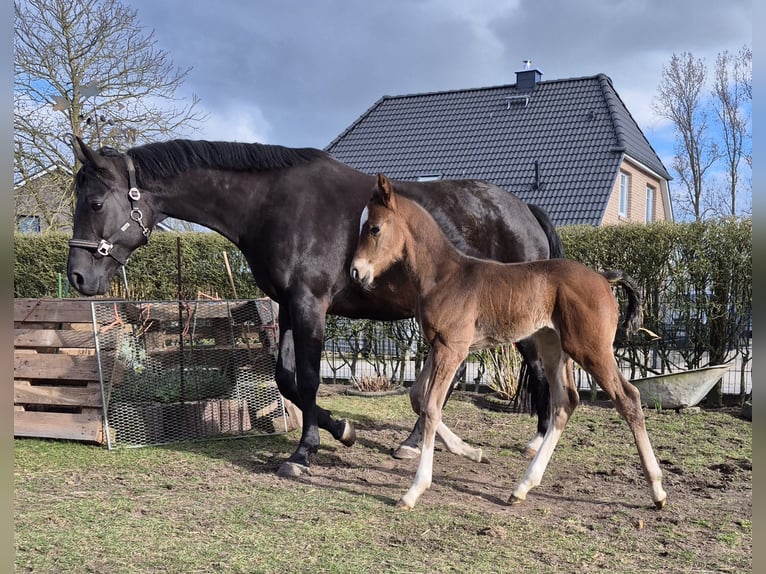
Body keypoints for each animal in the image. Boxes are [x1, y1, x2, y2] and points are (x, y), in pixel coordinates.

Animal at [67, 138, 564, 476]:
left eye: (95, 202)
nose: (77, 276)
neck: (273, 203)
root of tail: (524, 209)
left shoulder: (310, 304)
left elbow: (307, 380)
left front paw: (304, 451)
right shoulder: (288, 305)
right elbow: (285, 379)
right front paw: (341, 429)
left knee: (537, 371)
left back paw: (535, 444)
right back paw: (411, 442)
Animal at [352, 176, 668, 512]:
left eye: (374, 228)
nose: (356, 272)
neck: (443, 275)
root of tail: (603, 277)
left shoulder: (452, 348)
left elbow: (431, 406)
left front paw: (414, 490)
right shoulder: (438, 346)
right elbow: (418, 398)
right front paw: (470, 451)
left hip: (591, 349)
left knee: (628, 398)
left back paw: (657, 490)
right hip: (555, 349)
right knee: (566, 403)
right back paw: (522, 487)